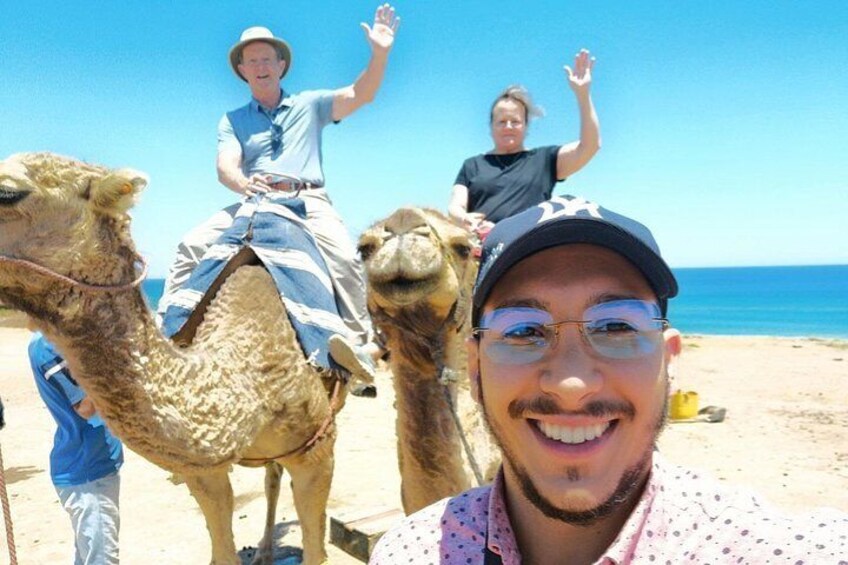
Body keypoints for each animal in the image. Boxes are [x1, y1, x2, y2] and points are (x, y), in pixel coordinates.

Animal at [0, 152, 348, 560]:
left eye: (8, 192)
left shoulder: (318, 448)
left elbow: (315, 549)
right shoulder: (204, 470)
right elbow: (222, 549)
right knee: (271, 475)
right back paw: (263, 549)